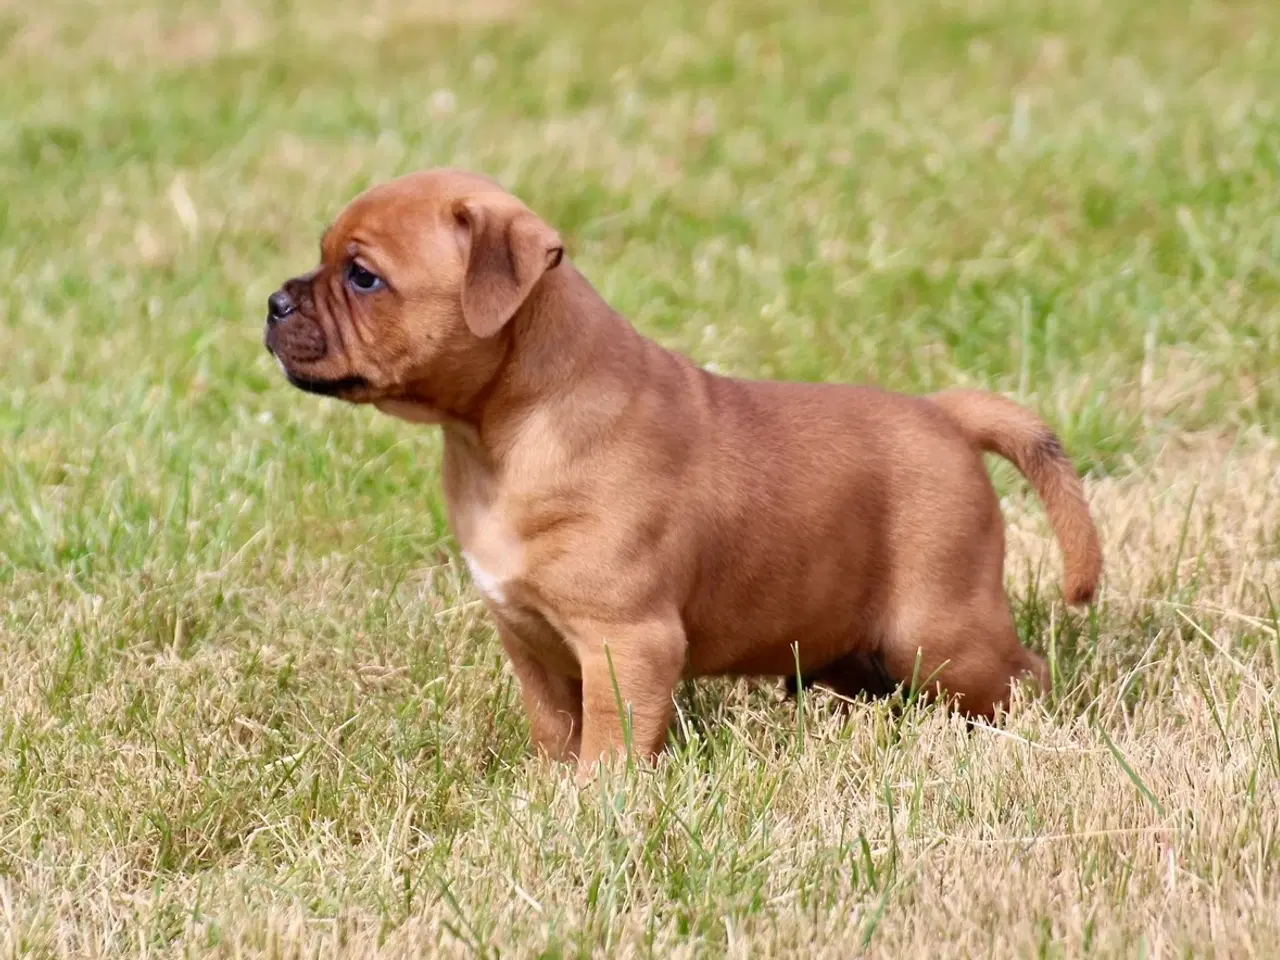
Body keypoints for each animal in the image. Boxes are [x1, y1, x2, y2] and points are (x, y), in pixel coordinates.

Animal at [259, 168, 1100, 778]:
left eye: (363, 277)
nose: (272, 303)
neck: (498, 437)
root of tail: (945, 413)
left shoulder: (627, 640)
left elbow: (611, 737)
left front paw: (596, 803)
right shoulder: (528, 637)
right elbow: (553, 724)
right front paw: (547, 789)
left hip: (941, 629)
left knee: (1020, 675)